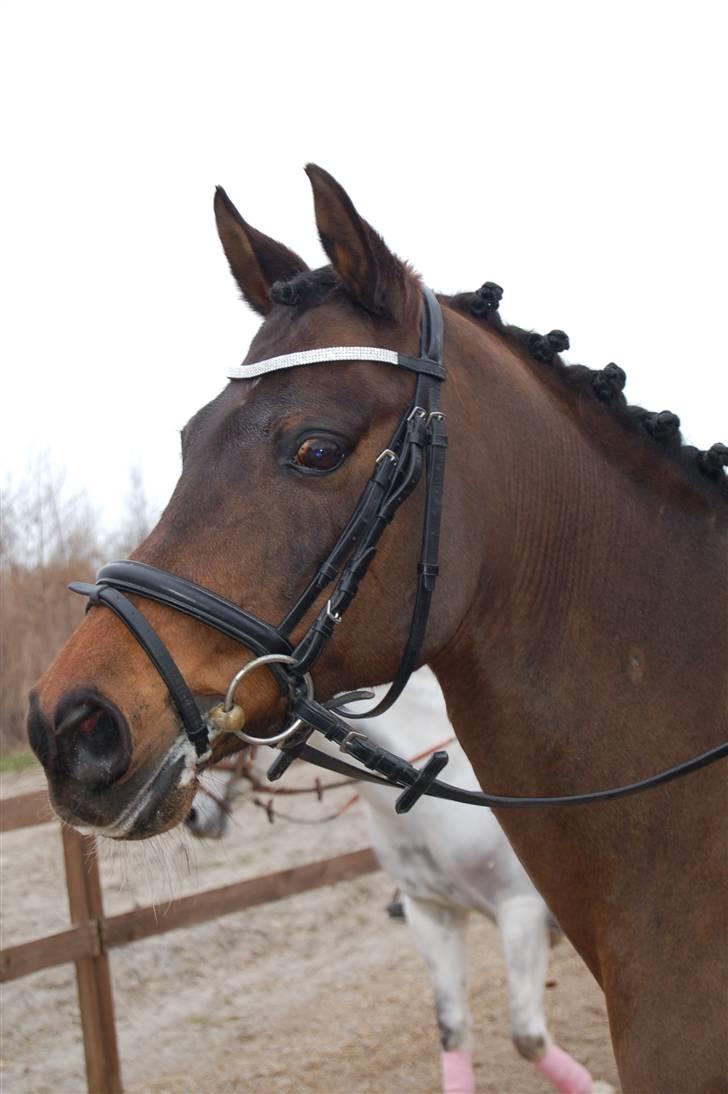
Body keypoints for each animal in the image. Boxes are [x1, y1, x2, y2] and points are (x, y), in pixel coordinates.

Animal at [188, 665, 613, 1094]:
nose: (192, 817)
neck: (433, 797)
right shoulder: (431, 913)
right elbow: (453, 1031)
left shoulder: (520, 911)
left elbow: (527, 1037)